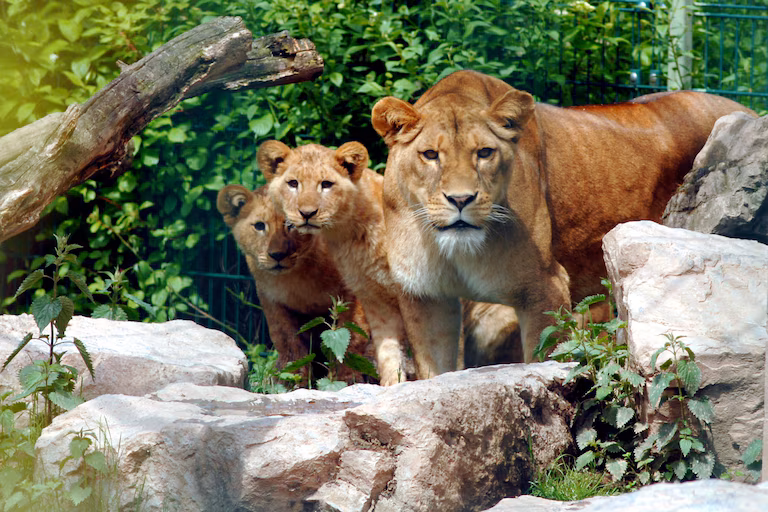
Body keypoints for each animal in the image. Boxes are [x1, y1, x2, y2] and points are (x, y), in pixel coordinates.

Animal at [216, 184, 370, 383]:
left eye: (291, 224)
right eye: (259, 226)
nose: (277, 255)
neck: (296, 276)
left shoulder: (353, 292)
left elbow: (351, 336)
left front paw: (345, 380)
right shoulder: (273, 302)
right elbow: (288, 343)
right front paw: (292, 381)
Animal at [371, 69, 755, 376]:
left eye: (484, 153)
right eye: (430, 155)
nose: (461, 199)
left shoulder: (545, 287)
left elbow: (544, 362)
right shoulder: (426, 297)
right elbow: (434, 374)